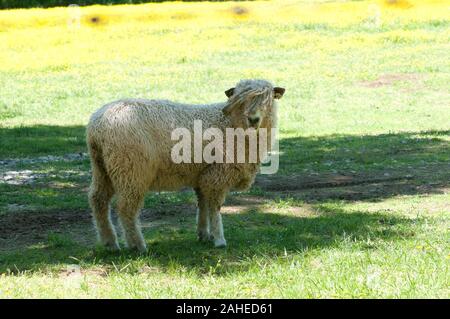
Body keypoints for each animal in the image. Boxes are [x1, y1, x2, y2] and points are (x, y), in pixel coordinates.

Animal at [86, 78, 286, 252]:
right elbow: (215, 208)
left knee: (98, 200)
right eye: (240, 100)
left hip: (102, 168)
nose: (253, 119)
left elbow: (202, 204)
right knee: (126, 208)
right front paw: (219, 239)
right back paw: (138, 245)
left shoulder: (203, 174)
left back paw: (110, 243)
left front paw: (204, 234)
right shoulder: (217, 175)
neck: (232, 124)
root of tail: (97, 125)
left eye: (268, 99)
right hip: (131, 170)